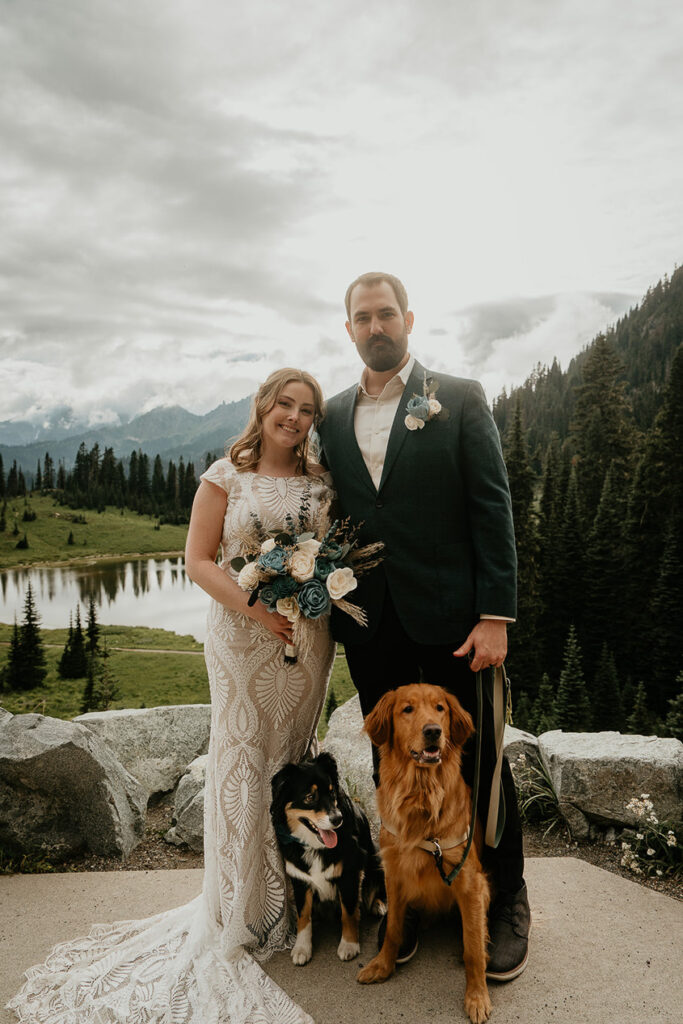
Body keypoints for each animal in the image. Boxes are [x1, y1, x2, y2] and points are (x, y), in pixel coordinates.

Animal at [270, 749, 387, 962]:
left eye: (332, 792)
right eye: (310, 797)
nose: (337, 819)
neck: (315, 846)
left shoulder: (349, 872)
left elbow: (348, 912)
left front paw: (349, 945)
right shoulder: (300, 878)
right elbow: (303, 915)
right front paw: (301, 948)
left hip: (377, 857)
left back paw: (378, 904)